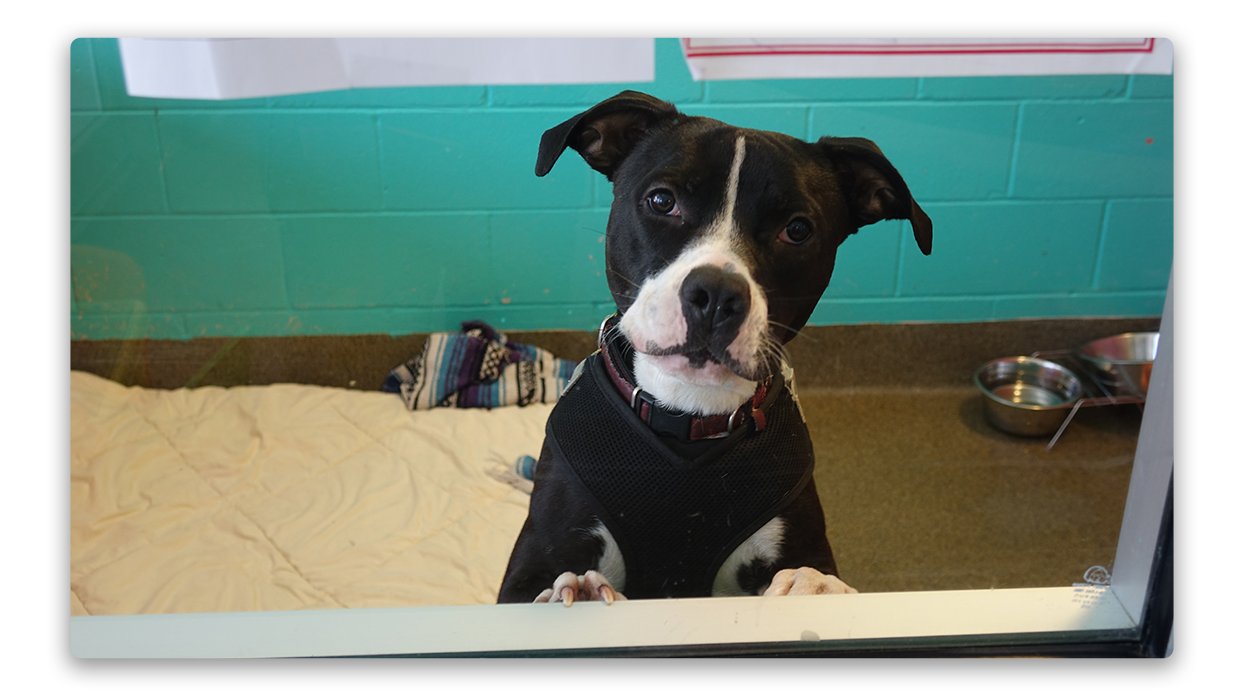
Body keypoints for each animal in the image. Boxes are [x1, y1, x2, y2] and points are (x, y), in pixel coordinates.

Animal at [495, 92, 935, 604]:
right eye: (662, 201)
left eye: (798, 230)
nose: (717, 293)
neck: (690, 411)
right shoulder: (533, 564)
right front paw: (579, 593)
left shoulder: (801, 541)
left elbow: (815, 574)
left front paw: (815, 589)